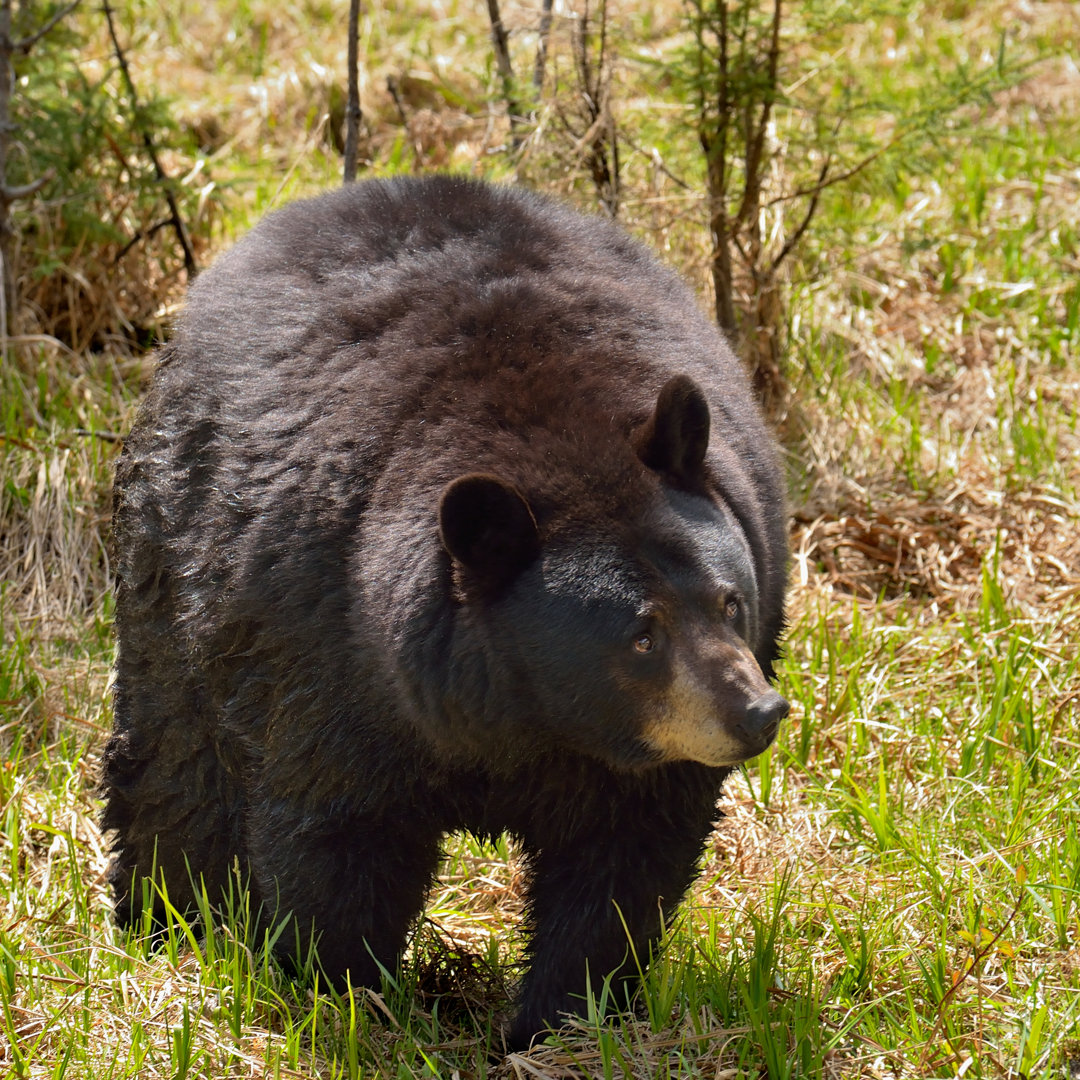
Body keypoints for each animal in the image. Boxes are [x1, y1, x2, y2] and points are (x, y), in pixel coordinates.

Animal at [101, 174, 790, 1045]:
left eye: (731, 601)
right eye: (641, 634)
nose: (758, 711)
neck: (525, 719)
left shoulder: (644, 756)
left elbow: (624, 858)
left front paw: (561, 1019)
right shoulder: (333, 651)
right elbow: (339, 833)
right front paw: (343, 994)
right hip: (175, 550)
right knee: (172, 754)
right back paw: (163, 919)